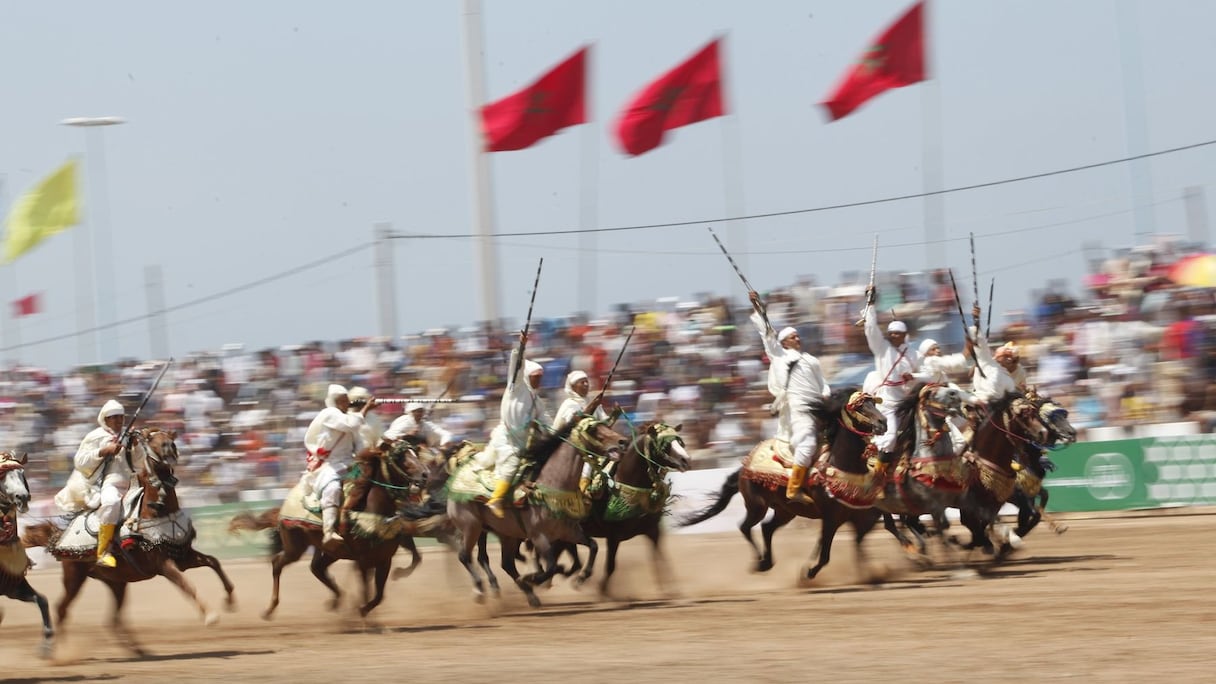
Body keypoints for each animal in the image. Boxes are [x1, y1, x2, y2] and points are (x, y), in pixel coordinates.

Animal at [19, 425, 234, 657]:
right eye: (149, 438)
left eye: (169, 436)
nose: (169, 447)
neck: (156, 510)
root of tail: (59, 536)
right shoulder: (164, 564)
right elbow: (186, 585)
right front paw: (210, 615)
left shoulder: (182, 555)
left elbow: (213, 562)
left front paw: (230, 600)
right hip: (74, 577)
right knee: (62, 609)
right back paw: (55, 650)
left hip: (116, 582)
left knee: (112, 620)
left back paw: (140, 650)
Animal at [676, 384, 885, 579]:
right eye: (859, 406)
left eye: (873, 403)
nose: (883, 422)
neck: (842, 466)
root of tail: (744, 466)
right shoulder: (830, 518)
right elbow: (825, 555)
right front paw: (808, 572)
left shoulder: (857, 516)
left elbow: (855, 543)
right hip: (757, 506)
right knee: (746, 527)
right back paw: (760, 563)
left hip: (785, 511)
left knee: (766, 528)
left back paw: (768, 562)